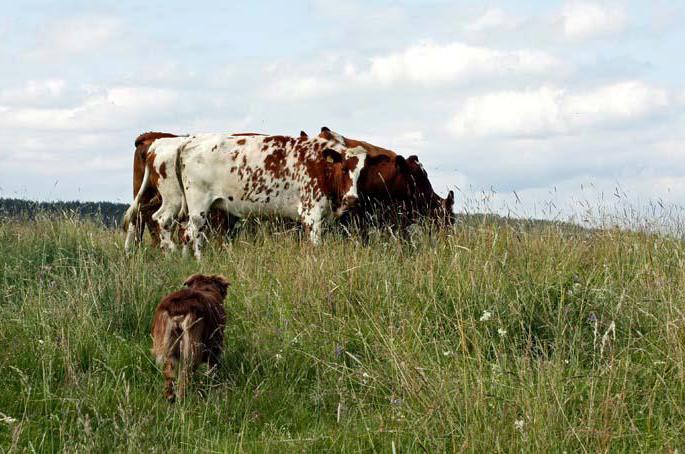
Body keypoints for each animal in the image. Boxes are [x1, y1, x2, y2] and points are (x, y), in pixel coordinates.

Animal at [125, 129, 366, 258]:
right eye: (343, 168)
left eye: (360, 171)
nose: (353, 199)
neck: (319, 163)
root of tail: (187, 142)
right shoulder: (311, 213)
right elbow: (315, 243)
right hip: (194, 205)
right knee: (184, 230)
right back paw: (193, 259)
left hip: (178, 202)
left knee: (168, 223)